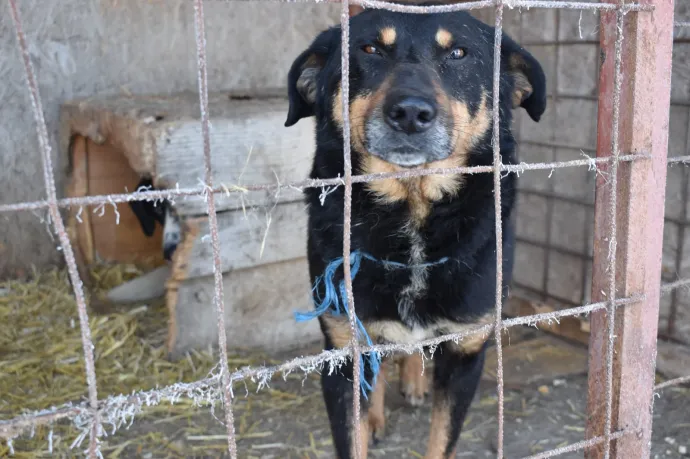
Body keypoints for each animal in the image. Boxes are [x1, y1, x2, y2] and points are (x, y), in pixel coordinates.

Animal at [284, 7, 544, 459]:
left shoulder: (466, 351)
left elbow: (443, 438)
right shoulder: (343, 352)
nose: (409, 113)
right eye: (369, 49)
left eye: (459, 53)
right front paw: (368, 421)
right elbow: (353, 430)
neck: (412, 222)